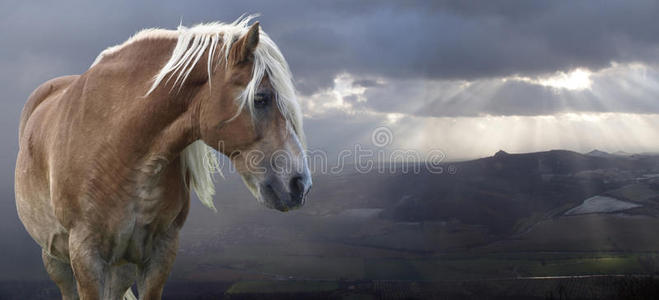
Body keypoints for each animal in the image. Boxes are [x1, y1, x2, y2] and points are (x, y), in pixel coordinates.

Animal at [14, 15, 314, 298]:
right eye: (261, 98)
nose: (300, 184)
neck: (118, 149)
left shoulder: (161, 253)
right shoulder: (85, 257)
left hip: (120, 268)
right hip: (56, 259)